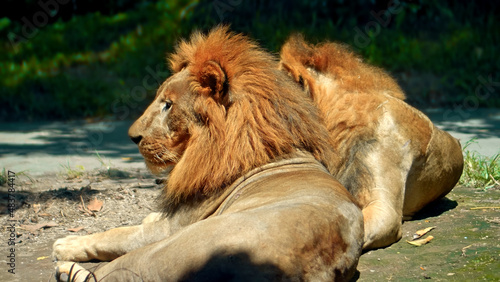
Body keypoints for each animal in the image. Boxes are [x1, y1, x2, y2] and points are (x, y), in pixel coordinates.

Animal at [51, 27, 364, 282]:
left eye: (167, 105)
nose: (132, 137)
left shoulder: (168, 228)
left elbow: (115, 234)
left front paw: (66, 244)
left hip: (171, 246)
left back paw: (66, 269)